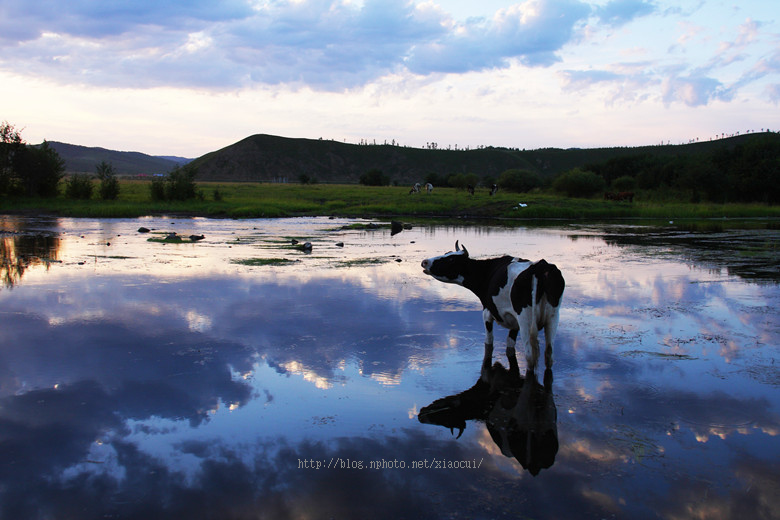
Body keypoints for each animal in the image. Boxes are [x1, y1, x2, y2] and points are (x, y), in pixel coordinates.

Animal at [424, 242, 564, 372]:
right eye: (447, 253)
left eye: (451, 259)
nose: (425, 262)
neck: (487, 273)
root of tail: (540, 267)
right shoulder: (514, 322)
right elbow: (510, 344)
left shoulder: (487, 312)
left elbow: (489, 341)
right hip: (553, 318)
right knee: (549, 355)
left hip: (526, 319)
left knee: (530, 356)